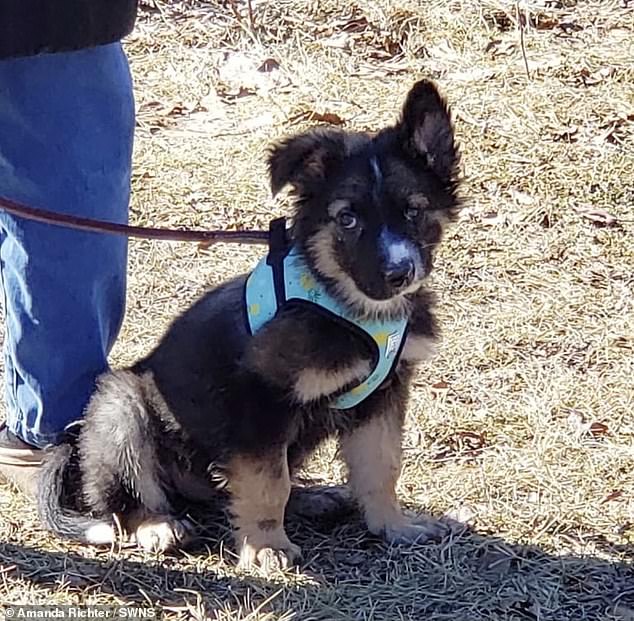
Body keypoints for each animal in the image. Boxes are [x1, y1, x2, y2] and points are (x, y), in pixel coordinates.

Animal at [37, 80, 460, 568]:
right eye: (347, 219)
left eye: (413, 211)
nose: (399, 273)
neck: (343, 304)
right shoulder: (260, 400)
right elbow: (266, 480)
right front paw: (267, 546)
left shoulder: (383, 398)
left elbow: (382, 465)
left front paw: (393, 525)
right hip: (120, 406)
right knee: (128, 496)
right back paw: (157, 525)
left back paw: (312, 498)